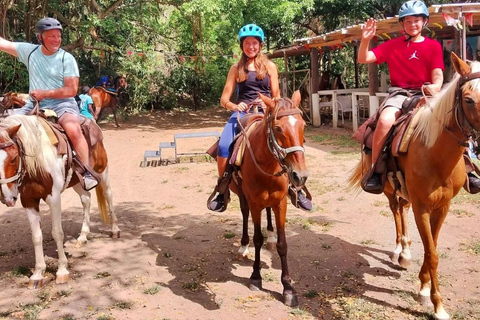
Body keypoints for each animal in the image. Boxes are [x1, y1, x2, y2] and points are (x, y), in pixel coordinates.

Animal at [0, 114, 119, 288]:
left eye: (14, 158)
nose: (7, 197)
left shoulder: (54, 198)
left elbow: (57, 232)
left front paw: (62, 270)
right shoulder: (28, 200)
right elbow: (36, 236)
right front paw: (38, 274)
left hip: (102, 172)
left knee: (109, 195)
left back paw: (115, 229)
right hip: (77, 181)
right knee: (86, 200)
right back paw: (83, 236)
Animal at [348, 51, 480, 318]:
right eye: (469, 99)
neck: (435, 151)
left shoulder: (443, 206)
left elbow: (433, 248)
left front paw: (424, 287)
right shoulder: (422, 207)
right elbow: (432, 253)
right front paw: (437, 304)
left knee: (402, 209)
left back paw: (406, 251)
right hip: (389, 189)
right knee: (396, 212)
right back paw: (401, 251)